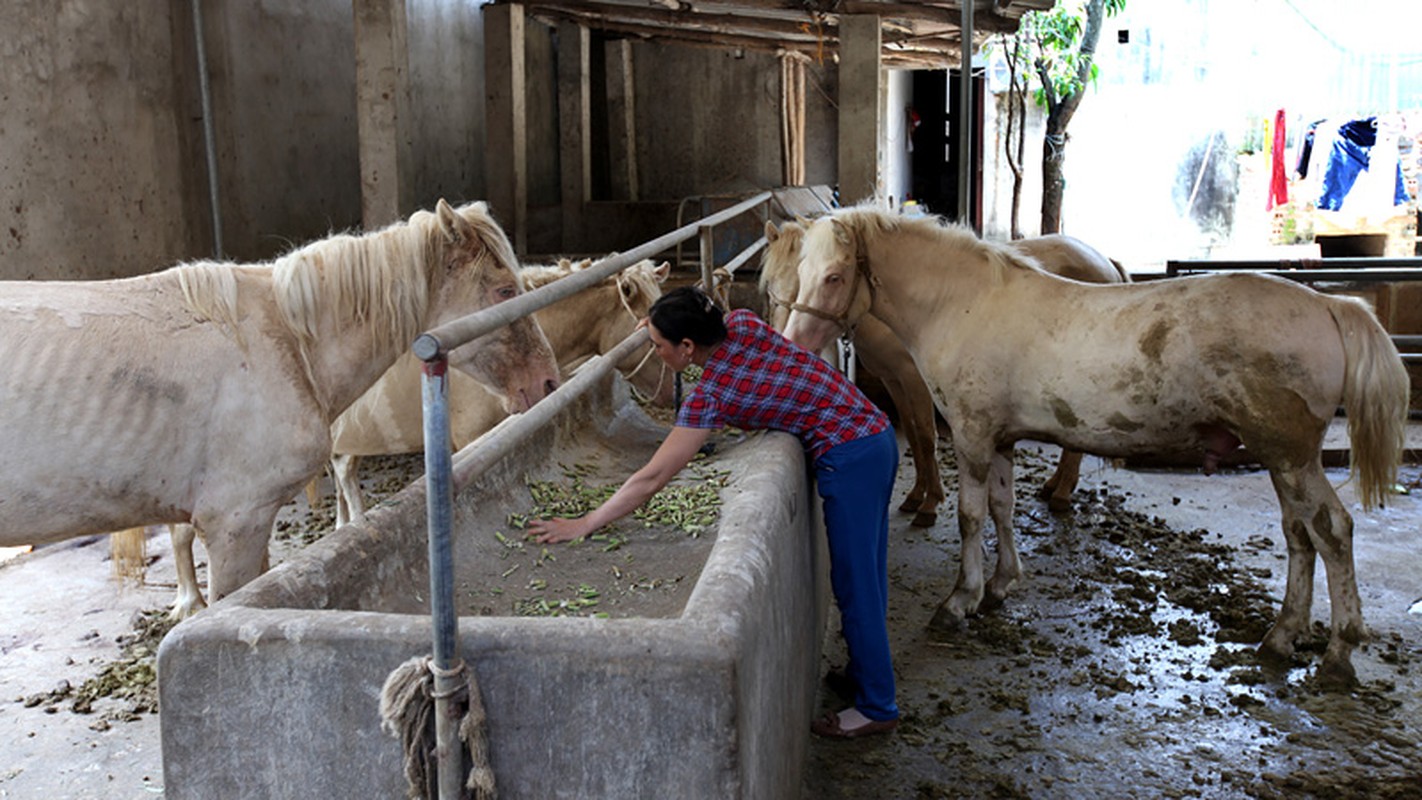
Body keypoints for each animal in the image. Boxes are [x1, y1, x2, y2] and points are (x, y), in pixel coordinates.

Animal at [762, 221, 1126, 528]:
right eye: (770, 287)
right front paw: (916, 495)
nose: (789, 341)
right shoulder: (893, 380)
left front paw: (929, 503)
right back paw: (1054, 484)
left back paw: (1062, 493)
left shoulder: (915, 380)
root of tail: (1103, 259)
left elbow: (926, 435)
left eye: (831, 278)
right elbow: (911, 433)